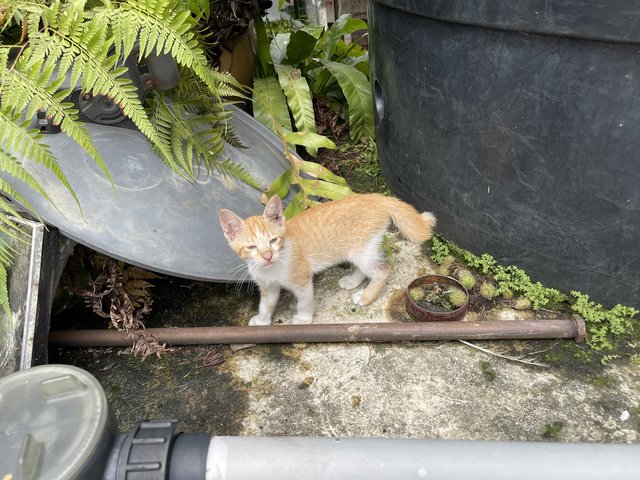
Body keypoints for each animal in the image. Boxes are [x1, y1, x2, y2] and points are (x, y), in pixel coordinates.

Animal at [219, 193, 436, 324]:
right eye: (251, 247)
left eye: (273, 240)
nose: (267, 255)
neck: (272, 268)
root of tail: (374, 197)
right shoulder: (267, 287)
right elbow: (266, 304)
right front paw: (262, 320)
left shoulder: (302, 280)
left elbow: (305, 301)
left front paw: (303, 318)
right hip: (362, 249)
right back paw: (352, 281)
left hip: (362, 250)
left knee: (381, 270)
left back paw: (366, 297)